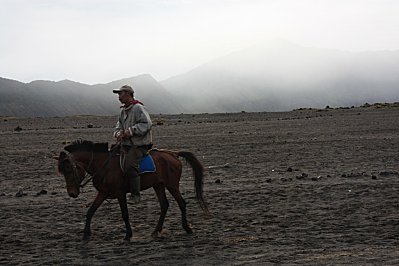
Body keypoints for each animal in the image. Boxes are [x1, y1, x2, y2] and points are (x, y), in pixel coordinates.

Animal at [56, 140, 209, 240]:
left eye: (69, 169)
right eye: (62, 171)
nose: (72, 193)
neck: (104, 165)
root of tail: (174, 154)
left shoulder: (120, 193)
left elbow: (125, 214)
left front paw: (128, 234)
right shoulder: (103, 193)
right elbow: (90, 211)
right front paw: (86, 233)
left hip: (172, 185)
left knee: (181, 203)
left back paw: (187, 228)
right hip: (158, 185)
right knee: (164, 205)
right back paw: (156, 231)